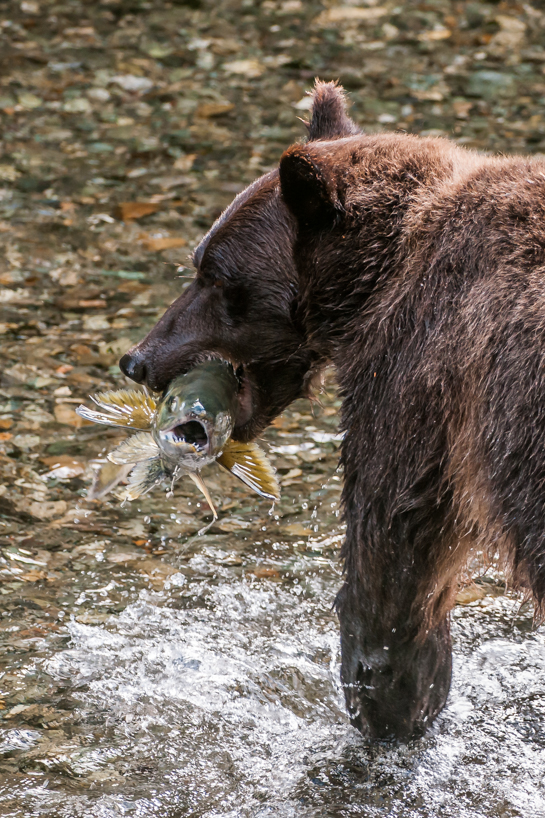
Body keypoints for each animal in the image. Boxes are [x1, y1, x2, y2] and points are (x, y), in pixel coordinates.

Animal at [119, 81, 545, 740]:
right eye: (199, 261)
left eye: (213, 273)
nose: (136, 359)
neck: (374, 278)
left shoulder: (415, 375)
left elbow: (392, 548)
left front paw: (391, 698)